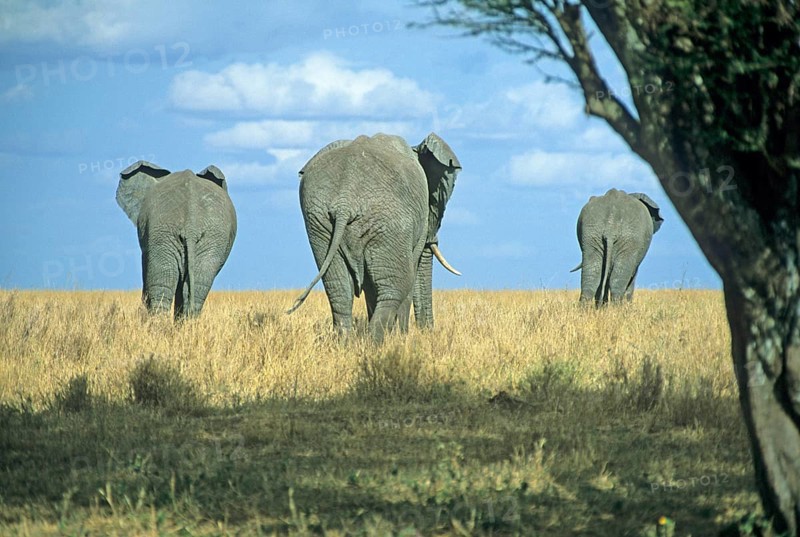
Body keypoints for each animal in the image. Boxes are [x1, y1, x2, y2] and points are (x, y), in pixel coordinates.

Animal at [287, 132, 462, 343]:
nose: (428, 332)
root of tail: (345, 201)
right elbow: (410, 274)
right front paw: (402, 338)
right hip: (388, 220)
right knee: (397, 287)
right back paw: (376, 344)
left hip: (318, 220)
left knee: (339, 289)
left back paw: (346, 344)